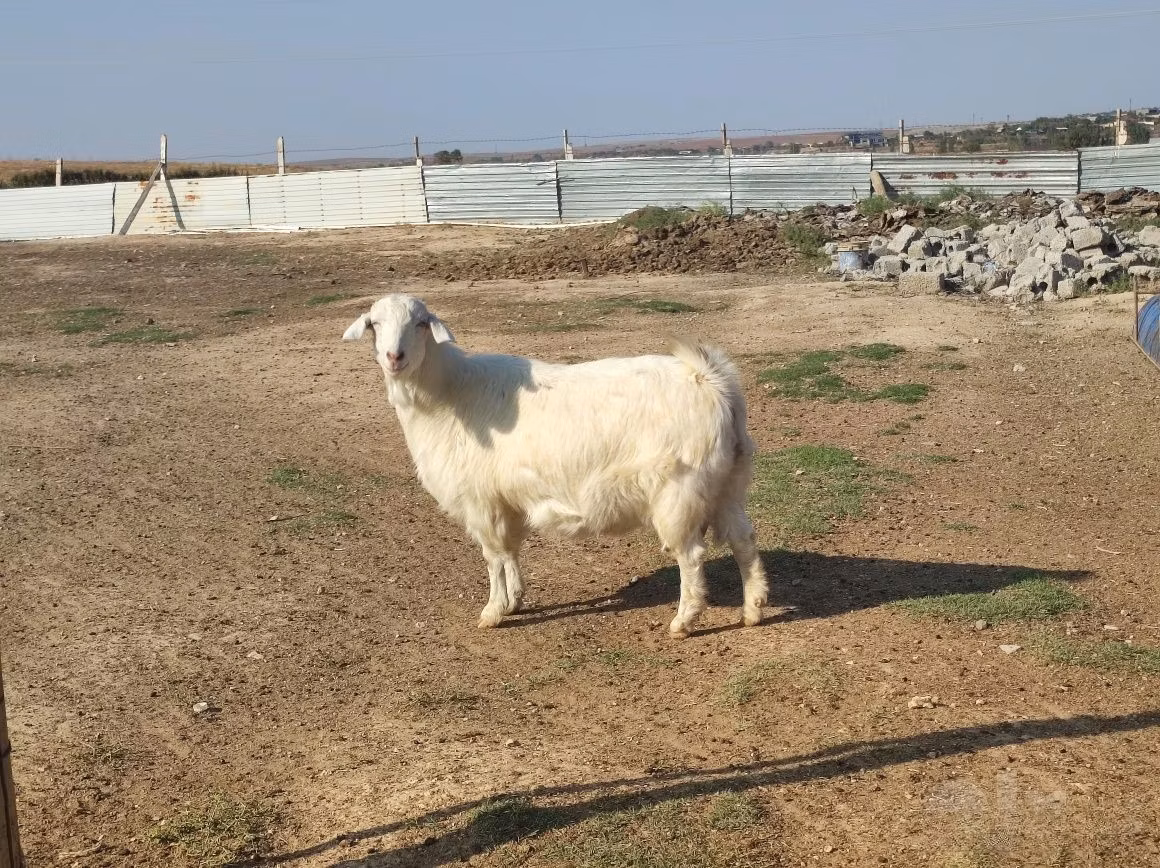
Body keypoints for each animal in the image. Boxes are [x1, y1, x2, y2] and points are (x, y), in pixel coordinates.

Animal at [343, 294, 768, 638]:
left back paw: (684, 621)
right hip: (728, 482)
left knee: (691, 556)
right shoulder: (506, 502)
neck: (447, 393)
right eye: (374, 324)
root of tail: (710, 380)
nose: (394, 357)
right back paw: (753, 608)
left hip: (680, 490)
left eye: (420, 323)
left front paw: (493, 611)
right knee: (743, 539)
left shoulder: (482, 502)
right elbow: (510, 553)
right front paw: (514, 600)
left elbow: (493, 558)